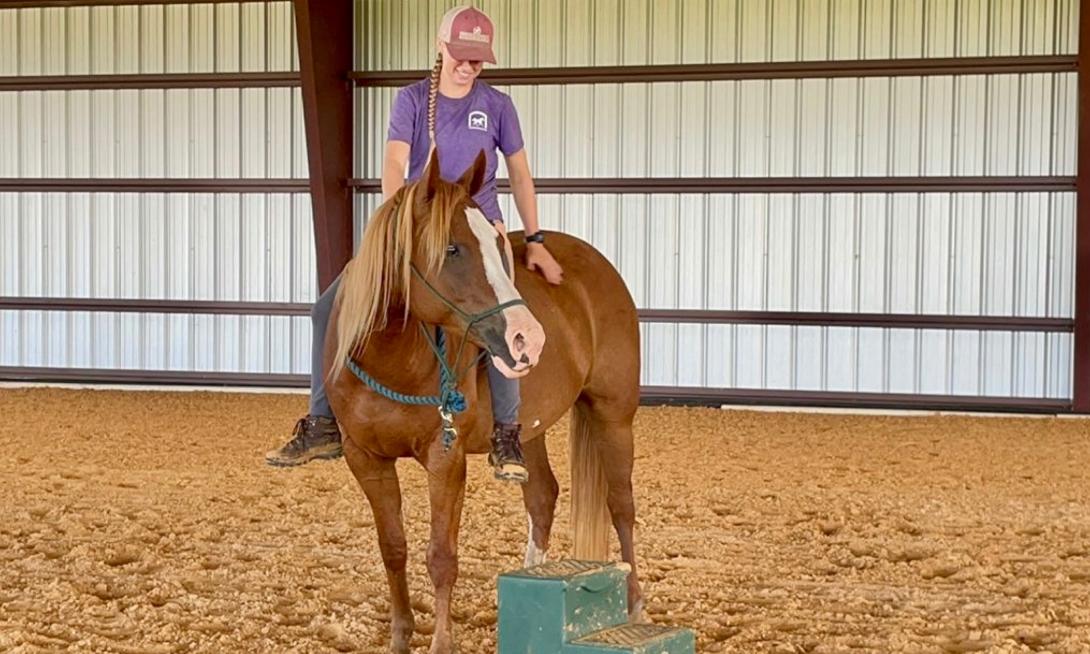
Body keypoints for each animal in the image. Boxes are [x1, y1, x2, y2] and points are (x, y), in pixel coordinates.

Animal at [327, 149, 640, 654]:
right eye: (453, 249)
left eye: (496, 244)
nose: (528, 336)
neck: (391, 359)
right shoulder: (365, 458)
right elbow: (393, 548)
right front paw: (400, 636)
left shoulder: (446, 458)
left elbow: (441, 555)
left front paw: (440, 643)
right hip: (529, 429)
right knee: (542, 497)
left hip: (614, 414)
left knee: (621, 506)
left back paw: (634, 604)